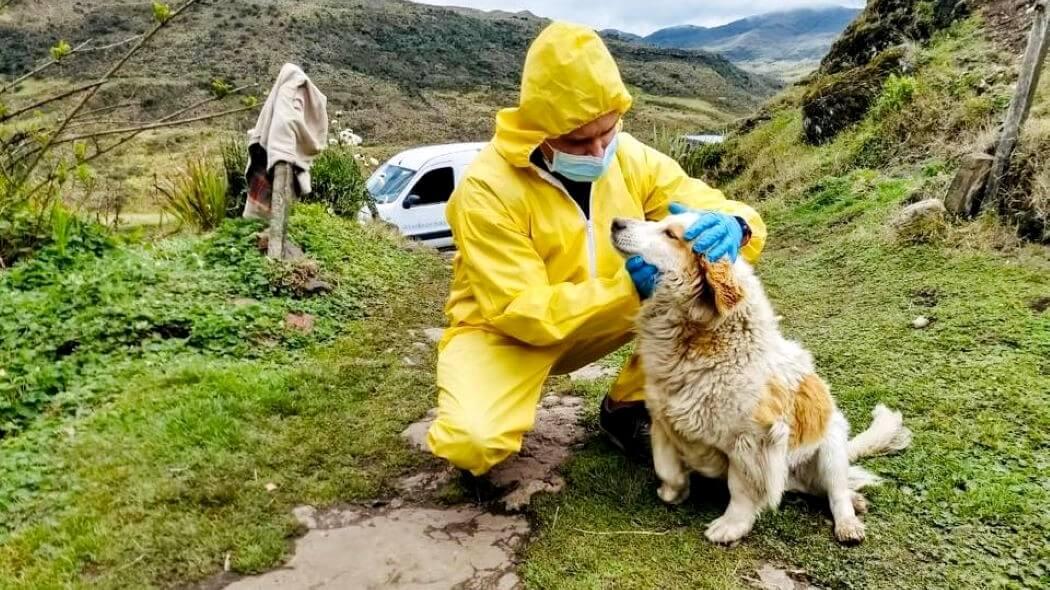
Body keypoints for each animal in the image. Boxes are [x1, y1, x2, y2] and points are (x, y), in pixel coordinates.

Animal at [613, 212, 911, 541]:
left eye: (670, 234)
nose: (615, 223)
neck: (699, 340)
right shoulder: (663, 420)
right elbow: (667, 468)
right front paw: (671, 493)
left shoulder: (752, 442)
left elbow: (741, 490)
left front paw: (731, 525)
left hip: (830, 447)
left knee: (836, 492)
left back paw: (849, 519)